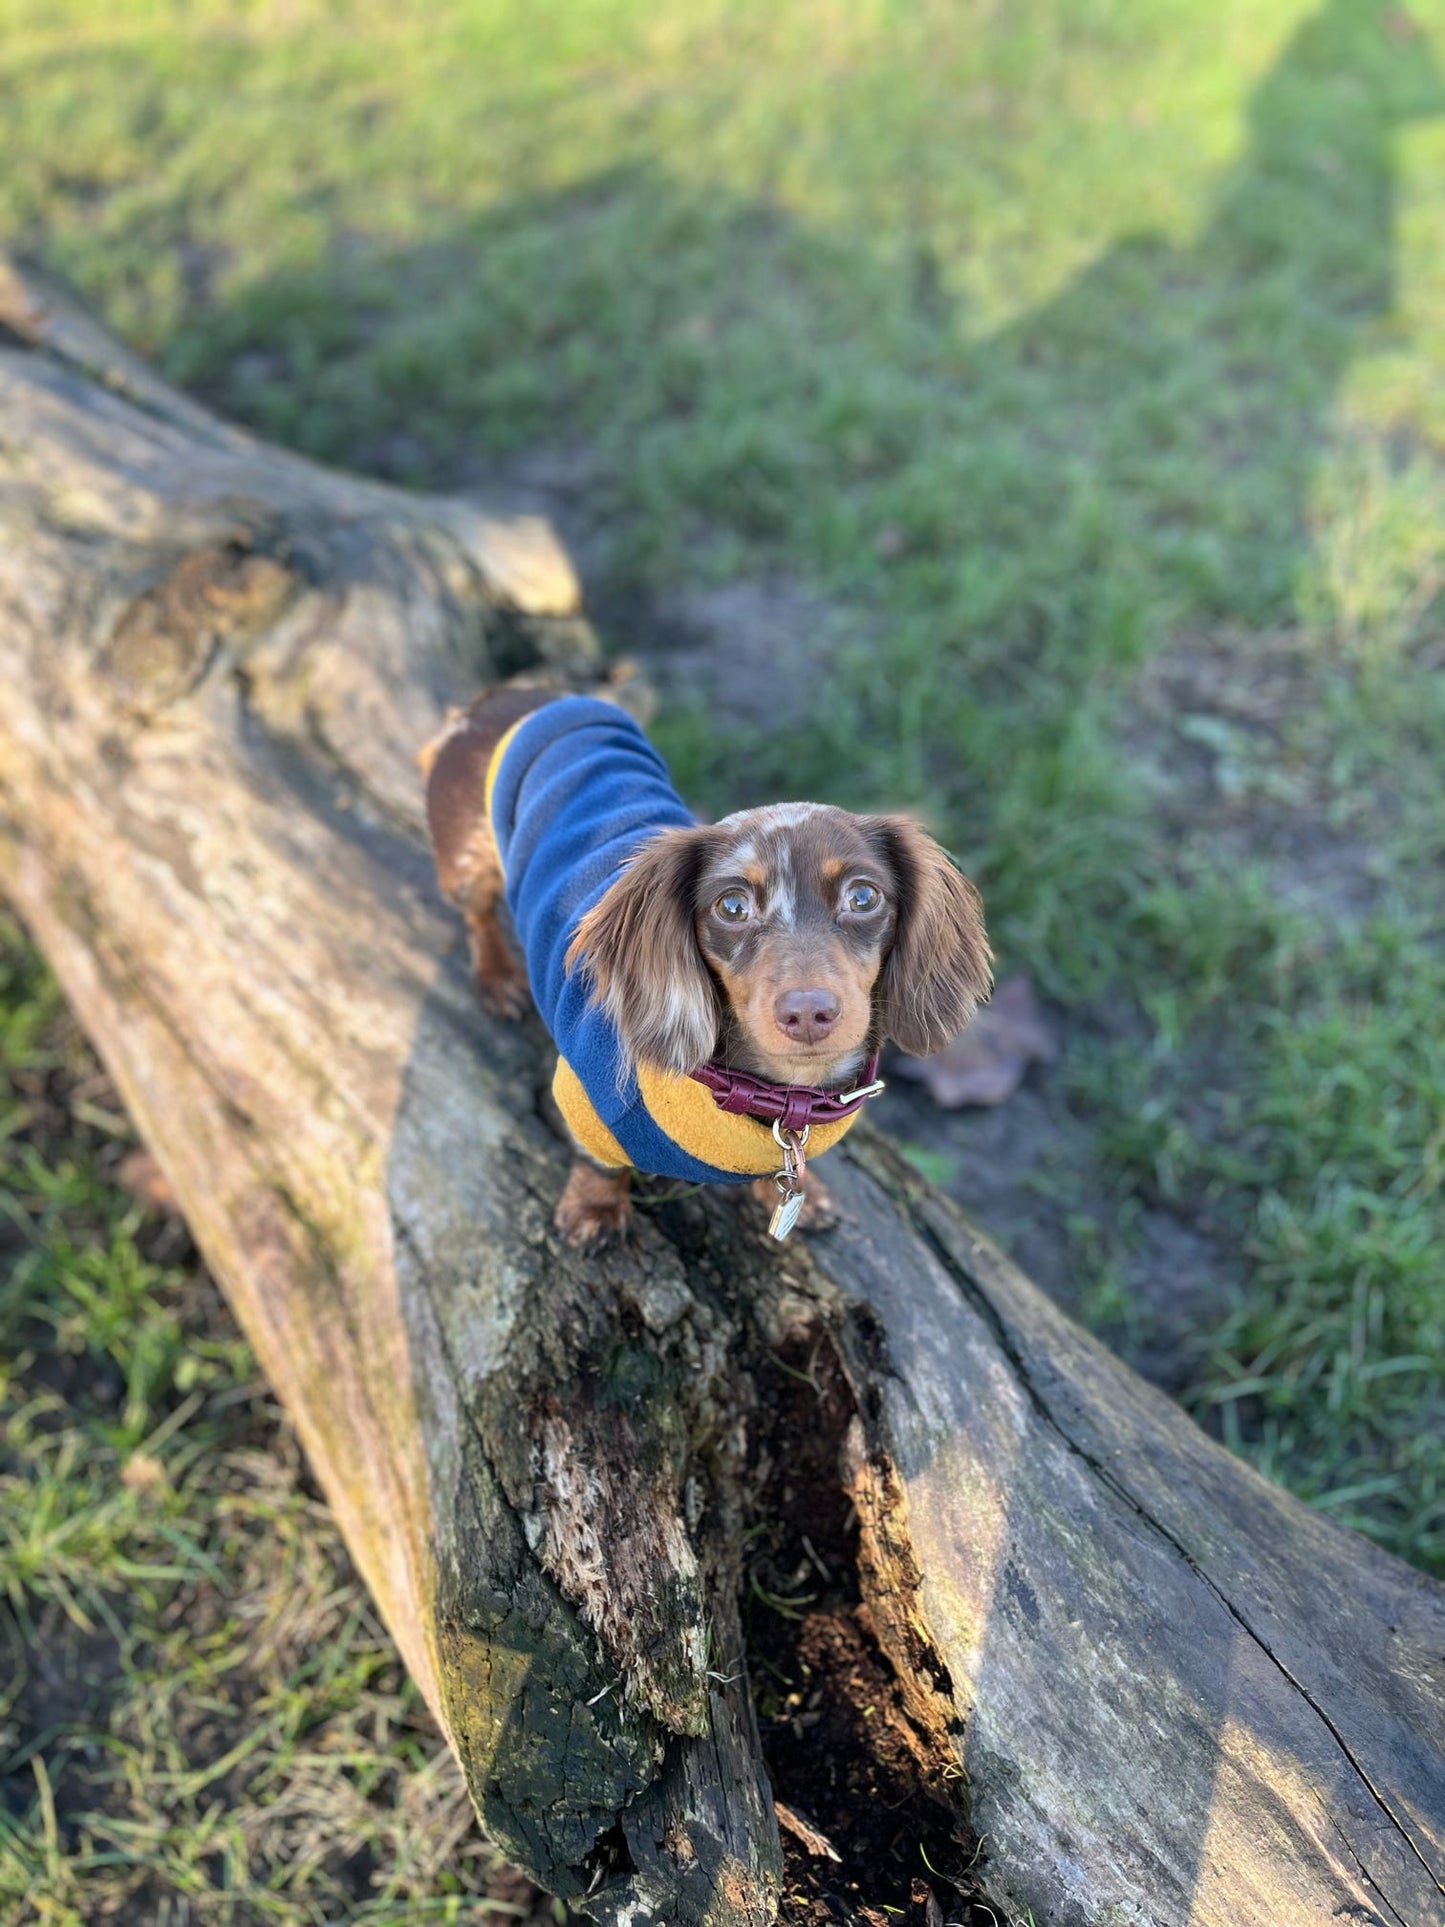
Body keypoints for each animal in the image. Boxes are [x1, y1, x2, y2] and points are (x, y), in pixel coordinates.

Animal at [418, 686, 986, 1240]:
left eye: (864, 897)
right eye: (732, 906)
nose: (808, 1014)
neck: (776, 1093)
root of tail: (502, 699)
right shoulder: (582, 1097)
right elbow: (597, 1162)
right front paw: (593, 1209)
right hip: (469, 864)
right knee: (478, 917)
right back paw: (498, 978)